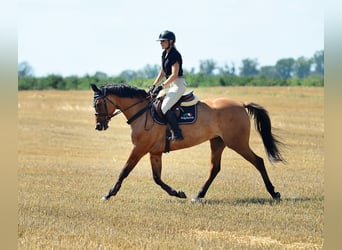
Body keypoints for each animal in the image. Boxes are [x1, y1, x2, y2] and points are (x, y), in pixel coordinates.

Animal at [90, 83, 284, 201]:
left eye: (98, 104)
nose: (99, 126)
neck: (142, 112)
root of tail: (241, 104)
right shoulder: (155, 152)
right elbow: (157, 178)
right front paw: (178, 193)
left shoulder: (139, 149)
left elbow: (124, 171)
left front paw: (109, 194)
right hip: (217, 142)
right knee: (215, 168)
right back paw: (198, 195)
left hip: (237, 143)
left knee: (258, 161)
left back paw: (274, 193)